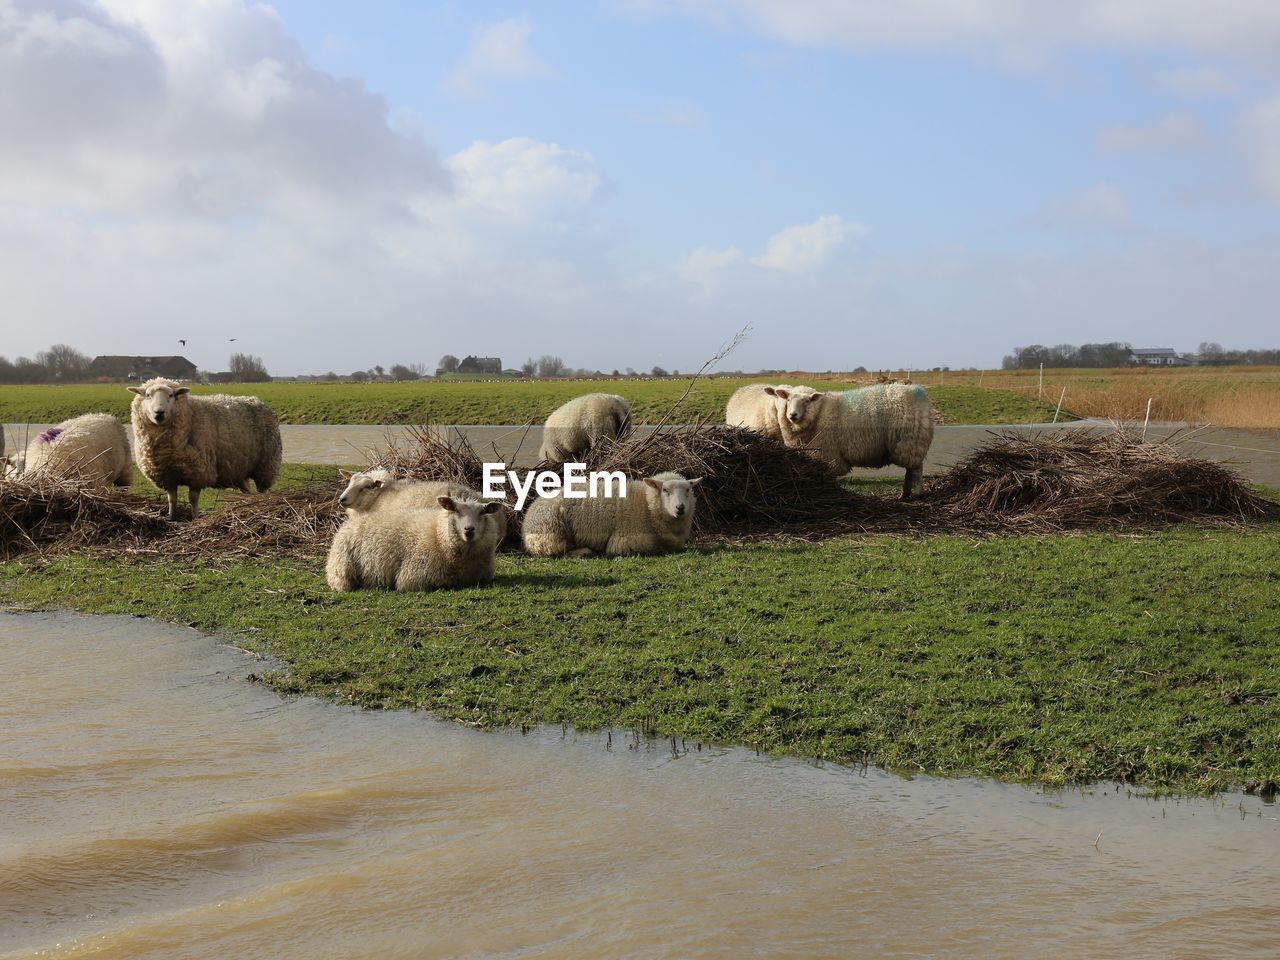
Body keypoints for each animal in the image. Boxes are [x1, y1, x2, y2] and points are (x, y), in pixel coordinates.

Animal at [128, 378, 281, 522]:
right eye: (148, 395)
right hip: (239, 470)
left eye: (171, 395)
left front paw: (195, 518)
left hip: (266, 464)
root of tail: (258, 401)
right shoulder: (168, 475)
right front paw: (171, 517)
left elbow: (193, 499)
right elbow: (172, 499)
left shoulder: (198, 472)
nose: (159, 413)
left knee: (263, 490)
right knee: (248, 491)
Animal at [325, 496, 504, 593]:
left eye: (482, 512)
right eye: (456, 510)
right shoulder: (414, 577)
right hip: (341, 570)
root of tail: (346, 525)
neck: (439, 536)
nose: (469, 530)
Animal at [519, 471, 701, 560]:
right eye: (665, 490)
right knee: (559, 551)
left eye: (688, 490)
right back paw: (586, 552)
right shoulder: (628, 540)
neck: (647, 505)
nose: (680, 508)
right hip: (551, 533)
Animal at [762, 381, 936, 499]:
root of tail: (920, 392)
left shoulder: (828, 454)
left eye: (807, 401)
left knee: (916, 469)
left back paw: (917, 493)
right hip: (908, 445)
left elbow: (831, 475)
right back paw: (904, 494)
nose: (792, 415)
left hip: (911, 442)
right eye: (788, 399)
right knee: (910, 469)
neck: (819, 413)